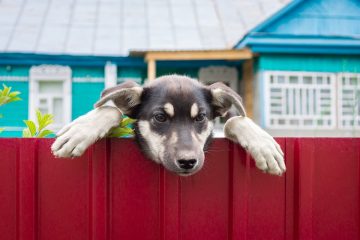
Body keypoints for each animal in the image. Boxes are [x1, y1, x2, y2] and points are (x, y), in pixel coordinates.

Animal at [51, 75, 286, 176]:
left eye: (201, 117)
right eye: (160, 117)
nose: (188, 162)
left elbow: (235, 120)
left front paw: (265, 146)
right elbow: (112, 110)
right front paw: (80, 130)